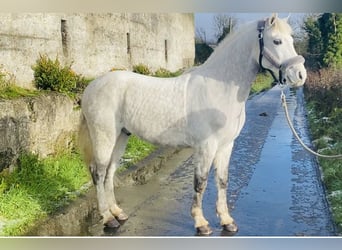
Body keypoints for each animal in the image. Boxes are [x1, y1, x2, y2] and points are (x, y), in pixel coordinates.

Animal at [79, 13, 306, 235]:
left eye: (292, 39)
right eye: (276, 40)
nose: (300, 75)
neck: (219, 88)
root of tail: (92, 86)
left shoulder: (226, 145)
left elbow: (222, 181)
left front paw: (227, 221)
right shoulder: (206, 146)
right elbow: (201, 182)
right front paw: (201, 223)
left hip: (121, 136)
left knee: (110, 172)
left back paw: (117, 213)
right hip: (104, 136)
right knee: (99, 173)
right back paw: (108, 219)